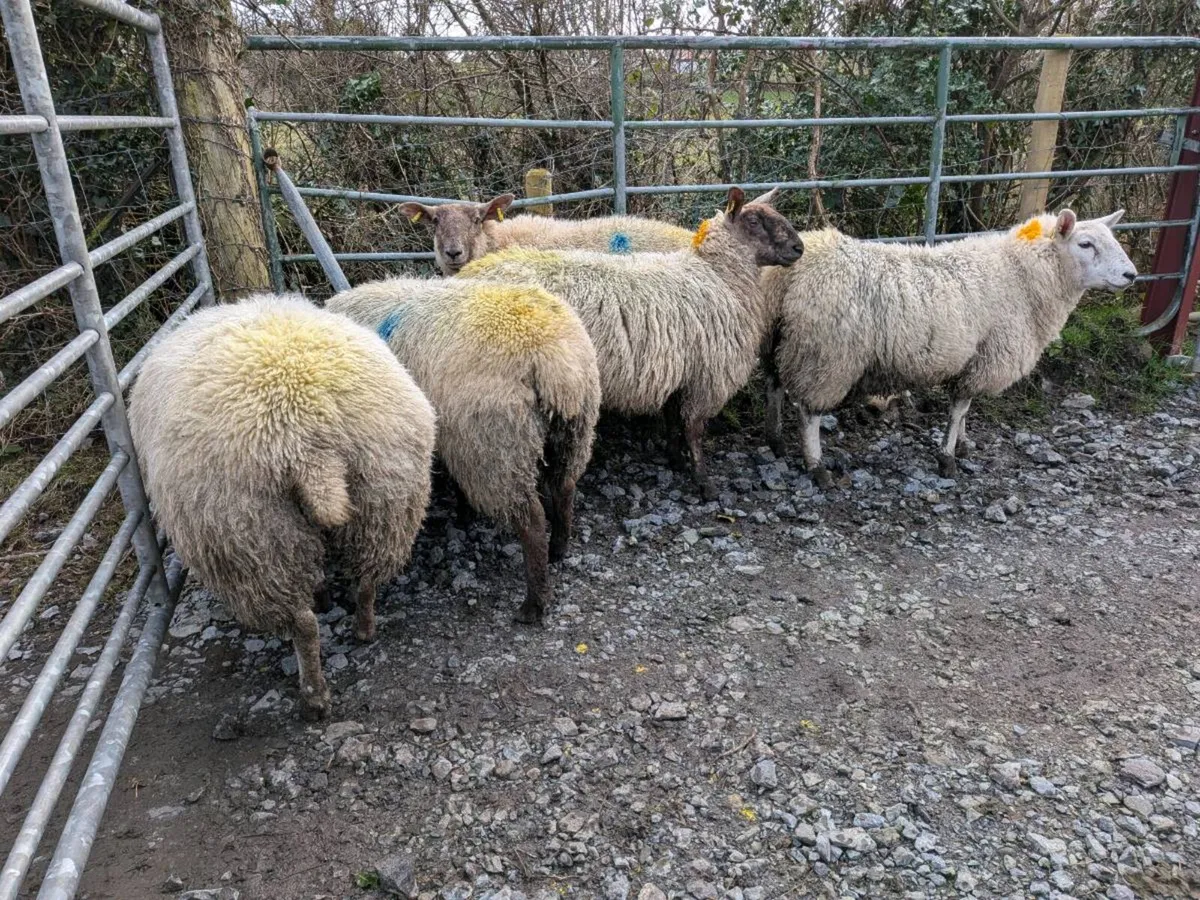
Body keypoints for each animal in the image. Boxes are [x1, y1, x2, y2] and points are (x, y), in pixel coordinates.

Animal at [128, 294, 436, 719]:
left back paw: (314, 695)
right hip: (385, 501)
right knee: (367, 581)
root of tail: (308, 444)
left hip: (254, 540)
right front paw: (324, 591)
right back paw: (363, 630)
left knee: (303, 624)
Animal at [326, 278, 600, 624]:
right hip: (572, 430)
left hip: (496, 446)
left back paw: (533, 604)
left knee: (532, 522)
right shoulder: (452, 436)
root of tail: (553, 359)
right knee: (565, 487)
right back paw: (558, 549)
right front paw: (463, 512)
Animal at [457, 187, 804, 499]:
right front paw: (704, 483)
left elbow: (672, 419)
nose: (799, 247)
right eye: (754, 222)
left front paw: (675, 460)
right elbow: (693, 429)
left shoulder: (680, 369)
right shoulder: (706, 375)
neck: (718, 276)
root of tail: (467, 275)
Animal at [762, 208, 1137, 486]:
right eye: (1086, 244)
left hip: (781, 339)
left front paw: (964, 443)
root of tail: (790, 273)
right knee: (808, 412)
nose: (1131, 276)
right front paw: (947, 458)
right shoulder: (987, 357)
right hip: (827, 355)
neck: (1020, 276)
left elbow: (966, 409)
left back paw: (775, 440)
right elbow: (959, 408)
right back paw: (816, 465)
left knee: (775, 387)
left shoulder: (975, 359)